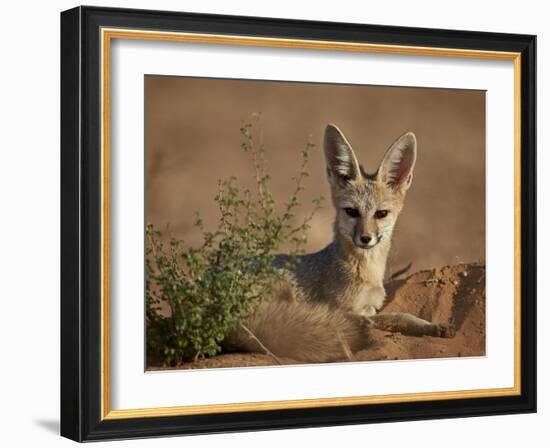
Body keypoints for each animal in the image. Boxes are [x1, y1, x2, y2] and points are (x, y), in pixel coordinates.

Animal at [224, 123, 458, 364]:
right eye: (351, 212)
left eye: (381, 214)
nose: (365, 238)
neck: (366, 272)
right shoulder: (344, 308)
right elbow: (393, 317)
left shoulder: (371, 306)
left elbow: (403, 315)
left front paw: (433, 326)